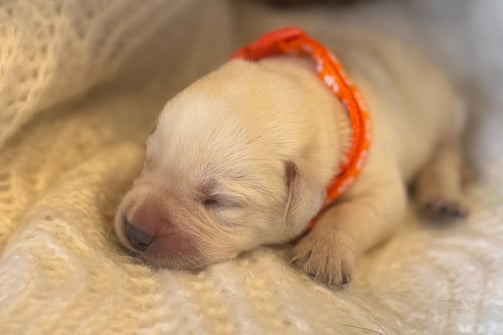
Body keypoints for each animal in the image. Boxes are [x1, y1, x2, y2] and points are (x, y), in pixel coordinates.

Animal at [114, 26, 468, 286]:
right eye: (149, 161)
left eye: (220, 201)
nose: (135, 232)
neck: (316, 88)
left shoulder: (380, 184)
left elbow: (350, 213)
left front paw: (325, 253)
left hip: (444, 118)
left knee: (446, 155)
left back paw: (443, 198)